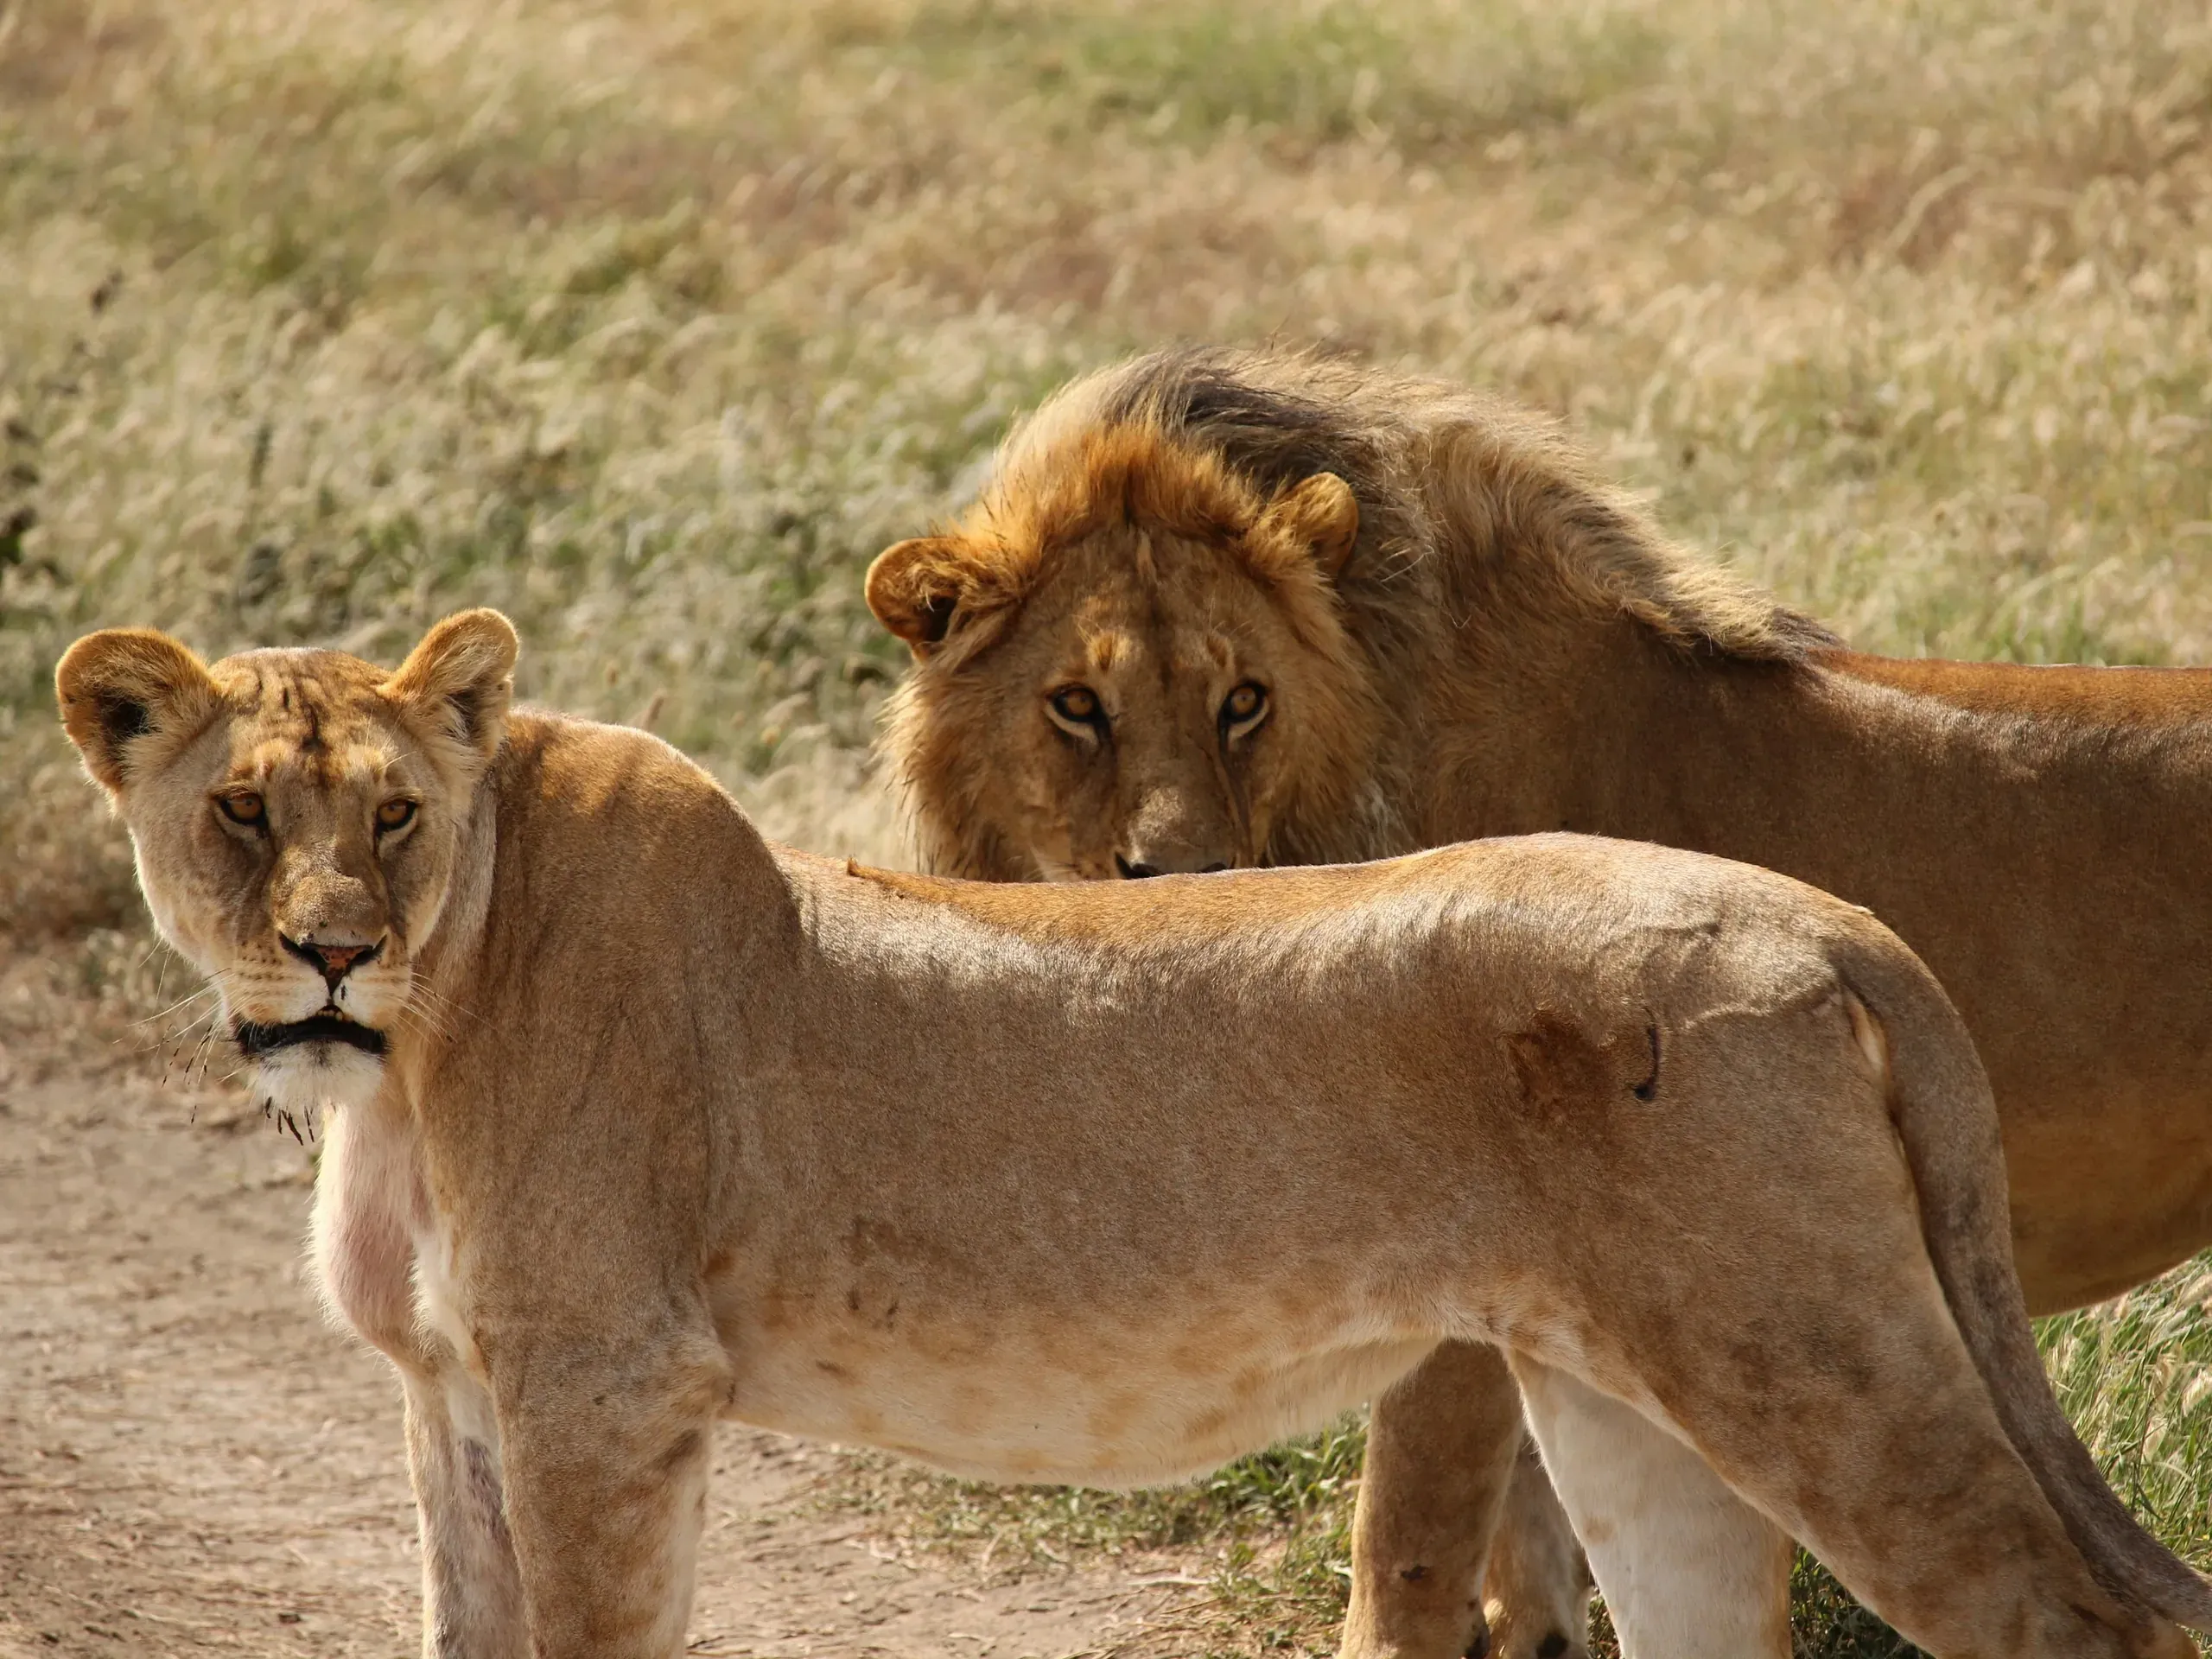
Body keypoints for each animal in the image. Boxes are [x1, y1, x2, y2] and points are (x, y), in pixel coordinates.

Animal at [56, 611, 2212, 1659]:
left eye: (390, 813)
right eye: (240, 813)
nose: (330, 951)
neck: (409, 1053)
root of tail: (1827, 924)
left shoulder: (608, 1385)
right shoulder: (458, 1391)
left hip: (1815, 1361)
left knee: (2072, 1623)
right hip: (1636, 1399)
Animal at [864, 346, 2212, 1659]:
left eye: (1242, 700)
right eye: (1075, 706)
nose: (1190, 879)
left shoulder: (1454, 1263)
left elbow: (1407, 1536)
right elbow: (1527, 1530)